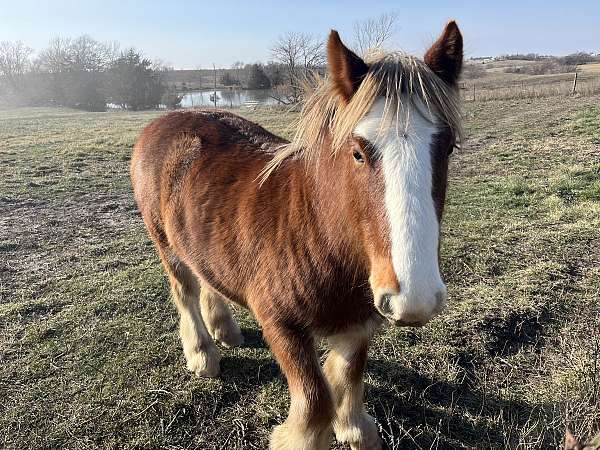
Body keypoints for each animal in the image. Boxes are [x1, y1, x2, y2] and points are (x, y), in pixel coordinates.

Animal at [131, 23, 464, 450]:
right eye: (358, 152)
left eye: (449, 147)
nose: (415, 298)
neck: (318, 238)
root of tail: (166, 120)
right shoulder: (281, 325)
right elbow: (315, 401)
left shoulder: (360, 319)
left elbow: (346, 373)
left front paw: (353, 427)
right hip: (164, 242)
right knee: (184, 290)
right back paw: (203, 355)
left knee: (207, 277)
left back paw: (225, 329)